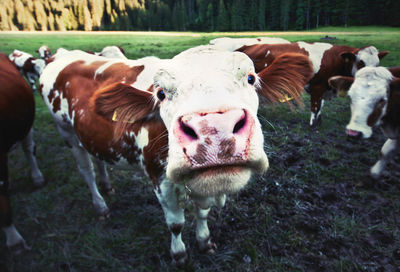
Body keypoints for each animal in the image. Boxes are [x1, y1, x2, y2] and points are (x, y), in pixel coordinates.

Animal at [38, 46, 312, 264]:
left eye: (251, 78)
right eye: (161, 93)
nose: (215, 131)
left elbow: (203, 212)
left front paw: (204, 241)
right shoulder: (159, 178)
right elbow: (176, 222)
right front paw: (179, 254)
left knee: (98, 159)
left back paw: (107, 186)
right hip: (66, 131)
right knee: (87, 172)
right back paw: (100, 205)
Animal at [236, 42, 390, 127]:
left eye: (377, 64)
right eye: (361, 62)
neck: (335, 59)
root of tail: (246, 46)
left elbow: (320, 106)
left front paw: (319, 122)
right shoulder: (318, 86)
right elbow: (315, 107)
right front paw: (313, 125)